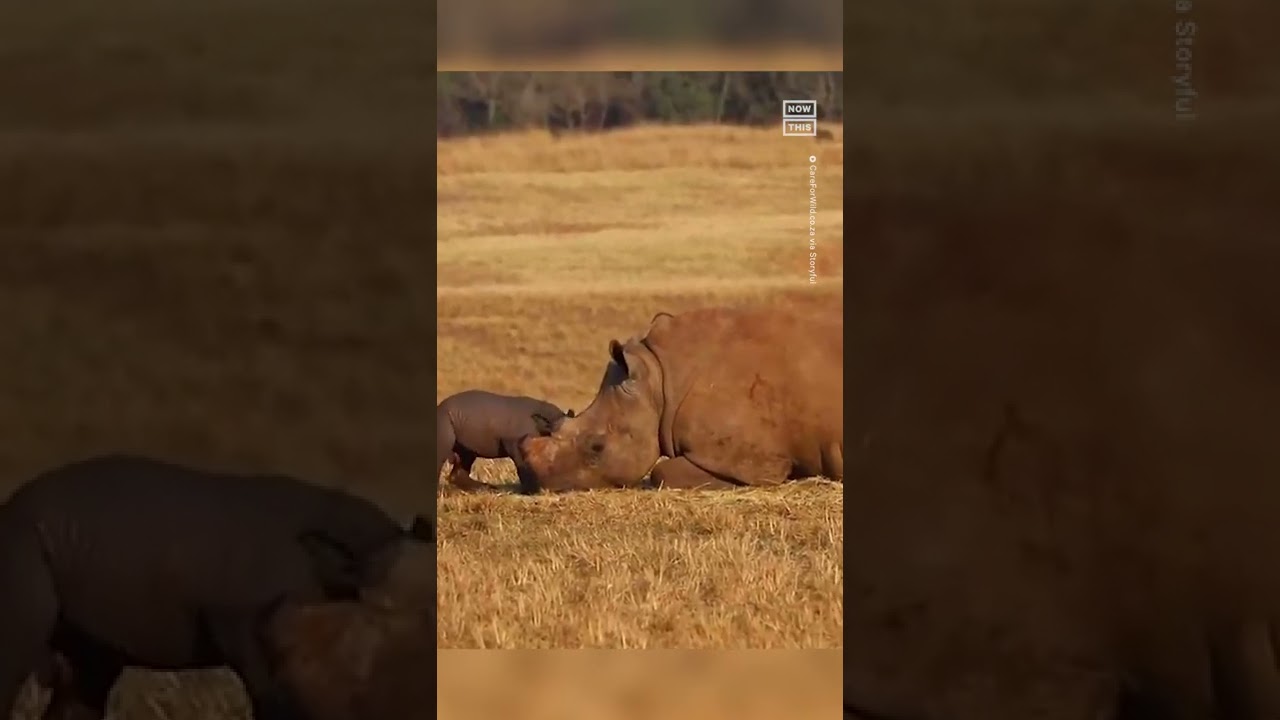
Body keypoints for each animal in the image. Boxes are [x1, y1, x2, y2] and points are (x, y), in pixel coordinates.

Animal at [437, 392, 573, 491]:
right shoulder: (515, 443)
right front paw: (531, 490)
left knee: (466, 456)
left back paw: (487, 489)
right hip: (443, 419)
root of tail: (439, 407)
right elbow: (522, 464)